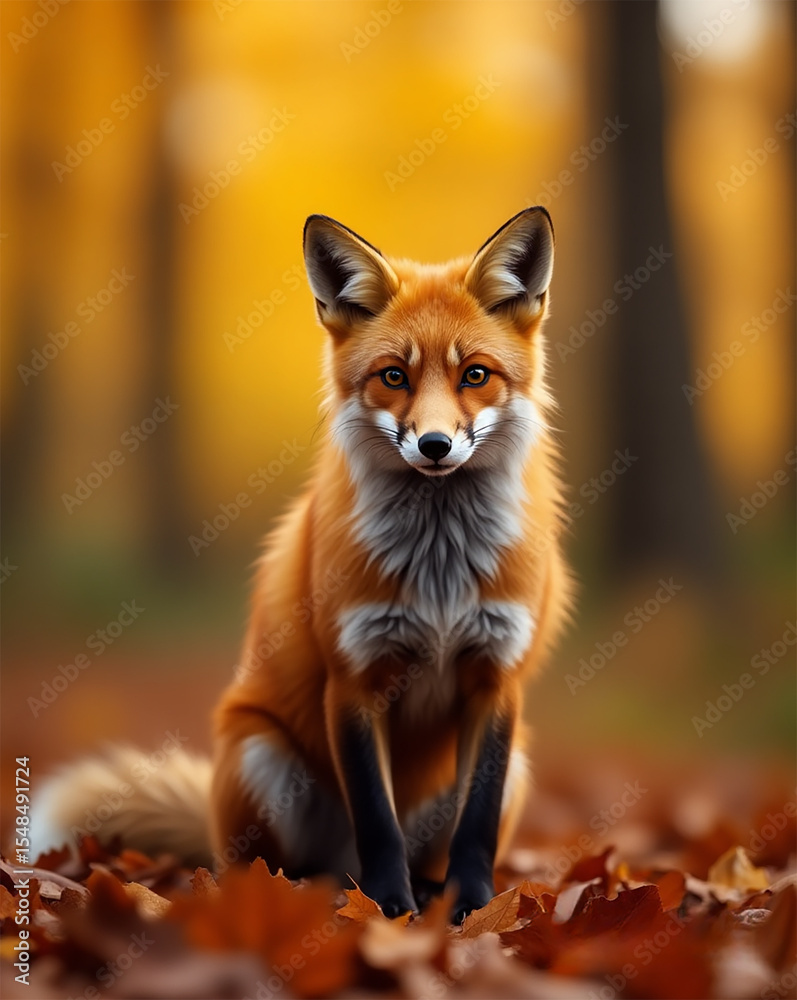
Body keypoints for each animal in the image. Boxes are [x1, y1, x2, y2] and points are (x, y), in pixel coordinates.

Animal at [30, 208, 573, 923]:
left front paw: (474, 907)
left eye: (475, 375)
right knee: (272, 866)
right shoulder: (353, 679)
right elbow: (377, 819)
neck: (439, 574)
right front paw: (390, 909)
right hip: (262, 757)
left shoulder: (497, 678)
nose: (434, 445)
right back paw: (314, 894)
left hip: (518, 768)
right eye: (393, 376)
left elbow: (476, 825)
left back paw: (425, 891)